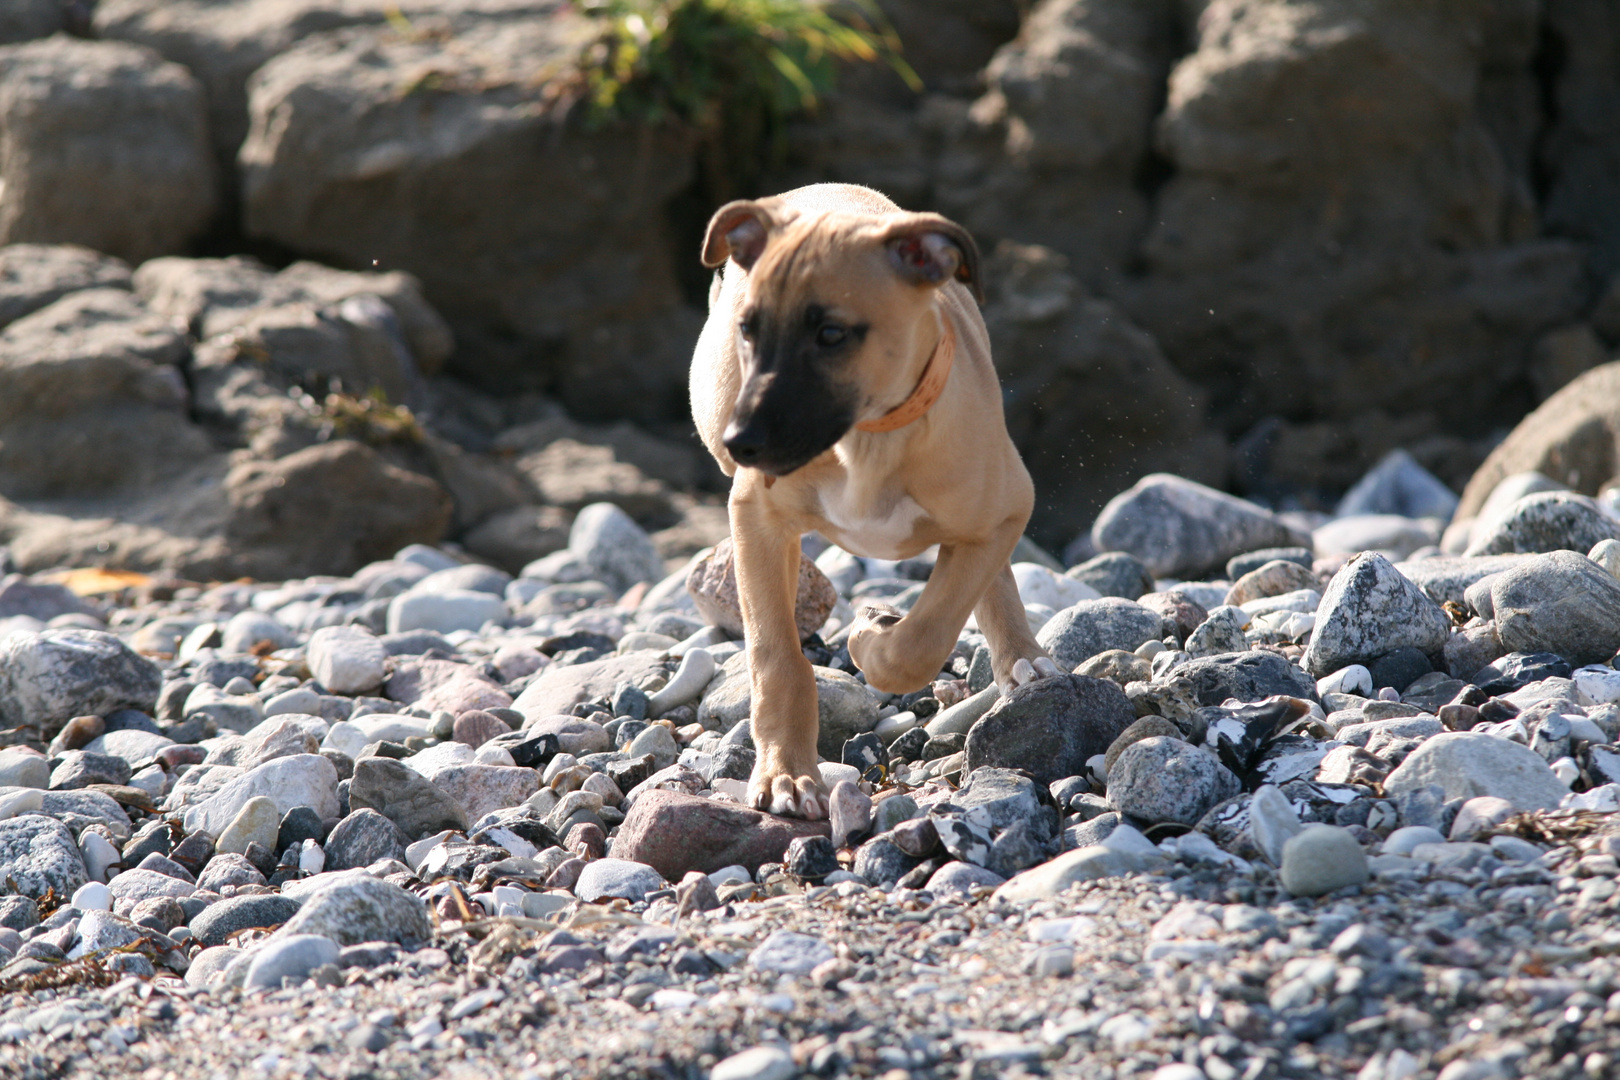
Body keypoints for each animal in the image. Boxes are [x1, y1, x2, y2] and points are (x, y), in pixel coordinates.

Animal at [686, 181, 1056, 819]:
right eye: (749, 329)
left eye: (832, 335)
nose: (742, 442)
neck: (868, 437)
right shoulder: (757, 518)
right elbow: (777, 657)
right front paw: (786, 774)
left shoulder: (1007, 507)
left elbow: (926, 635)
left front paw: (870, 636)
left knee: (991, 573)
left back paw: (1023, 657)